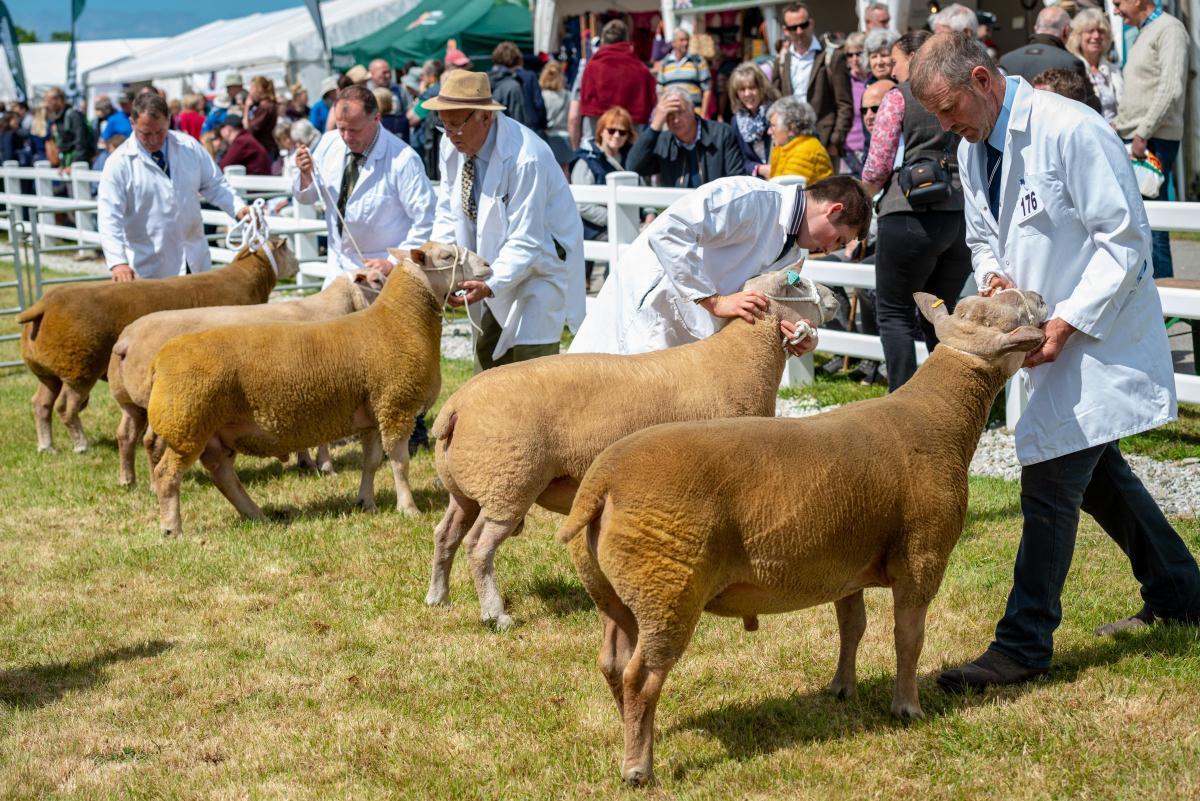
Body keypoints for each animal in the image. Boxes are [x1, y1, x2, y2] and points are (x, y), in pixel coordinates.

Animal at [17, 241, 300, 455]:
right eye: (289, 249)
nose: (299, 264)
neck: (248, 279)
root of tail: (44, 304)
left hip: (49, 371)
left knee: (40, 404)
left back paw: (47, 446)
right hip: (79, 367)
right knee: (66, 408)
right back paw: (81, 445)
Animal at [111, 275, 379, 489]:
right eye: (376, 280)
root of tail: (125, 342)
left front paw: (306, 462)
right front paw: (325, 467)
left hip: (132, 403)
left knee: (126, 435)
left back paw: (127, 480)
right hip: (172, 407)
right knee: (151, 442)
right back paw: (153, 485)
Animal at [144, 241, 492, 534]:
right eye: (447, 256)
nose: (488, 265)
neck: (400, 321)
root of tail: (159, 361)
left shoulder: (372, 410)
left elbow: (371, 462)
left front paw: (366, 502)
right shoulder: (395, 404)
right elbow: (399, 462)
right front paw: (408, 508)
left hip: (211, 431)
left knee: (222, 476)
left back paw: (256, 515)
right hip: (188, 425)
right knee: (167, 475)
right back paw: (172, 529)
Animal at [427, 270, 840, 633]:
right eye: (797, 282)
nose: (835, 296)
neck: (742, 357)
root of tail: (455, 407)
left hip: (469, 486)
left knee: (445, 534)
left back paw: (438, 598)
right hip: (508, 482)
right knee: (478, 547)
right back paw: (495, 615)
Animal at [556, 291, 1046, 786]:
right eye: (1005, 316)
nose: (1041, 297)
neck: (938, 418)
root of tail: (602, 482)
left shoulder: (845, 562)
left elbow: (853, 627)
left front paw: (842, 688)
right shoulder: (923, 555)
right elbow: (908, 637)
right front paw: (907, 707)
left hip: (613, 589)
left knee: (613, 664)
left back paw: (634, 733)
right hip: (668, 585)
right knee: (642, 675)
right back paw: (639, 767)